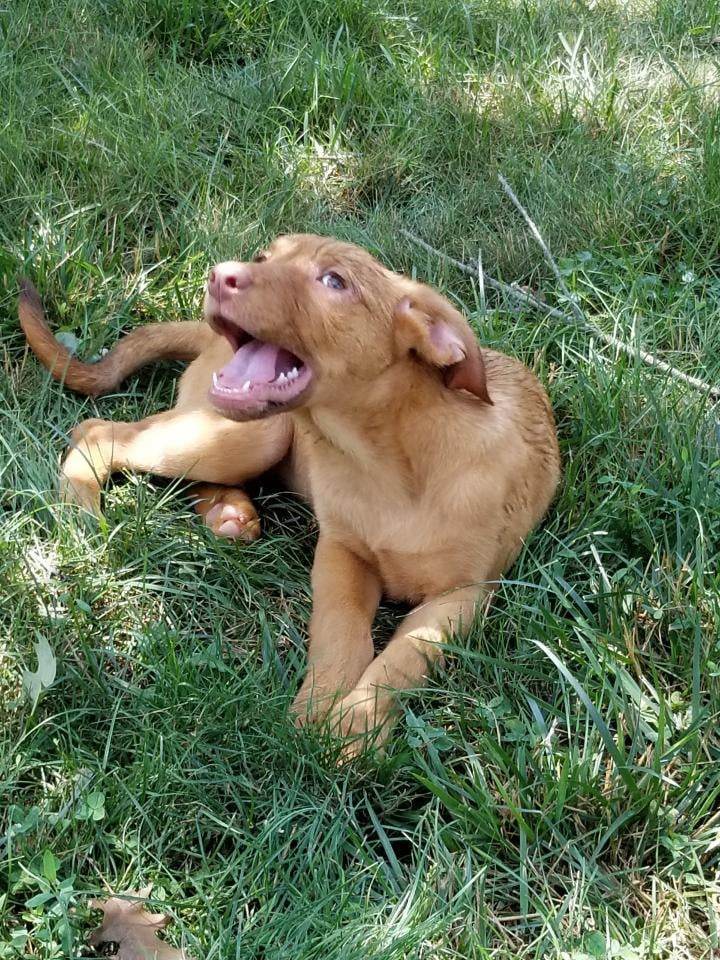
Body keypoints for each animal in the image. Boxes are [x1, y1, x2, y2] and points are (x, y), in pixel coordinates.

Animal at [16, 234, 560, 756]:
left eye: (335, 281)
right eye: (264, 257)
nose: (219, 274)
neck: (387, 463)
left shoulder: (465, 594)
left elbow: (408, 653)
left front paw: (355, 724)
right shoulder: (341, 553)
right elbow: (340, 633)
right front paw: (320, 711)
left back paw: (227, 513)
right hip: (251, 434)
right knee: (96, 431)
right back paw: (79, 510)